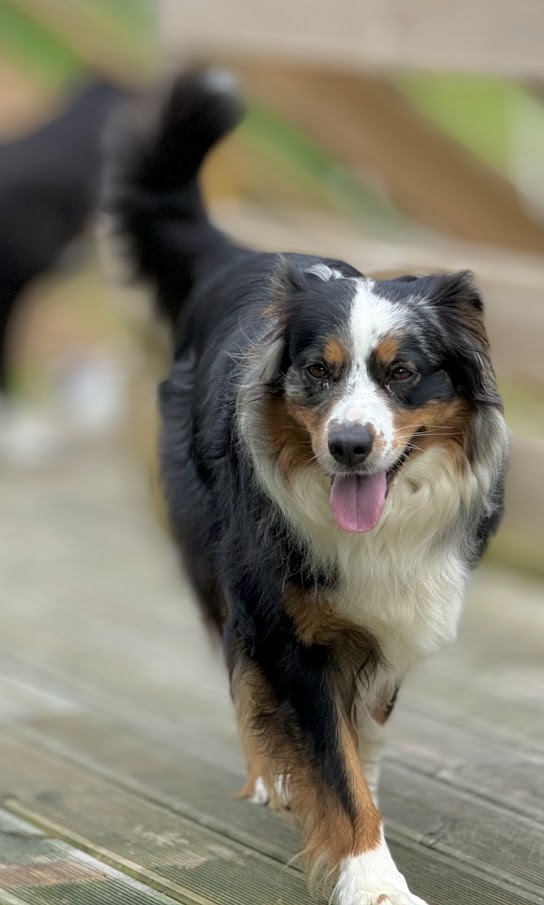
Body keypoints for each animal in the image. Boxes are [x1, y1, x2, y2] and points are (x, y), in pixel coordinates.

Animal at [104, 70, 508, 904]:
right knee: (238, 664)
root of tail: (243, 255)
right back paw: (274, 773)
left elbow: (365, 725)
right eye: (317, 372)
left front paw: (365, 790)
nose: (349, 446)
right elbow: (329, 759)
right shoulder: (286, 626)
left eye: (402, 372)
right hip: (212, 554)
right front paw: (373, 877)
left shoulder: (397, 608)